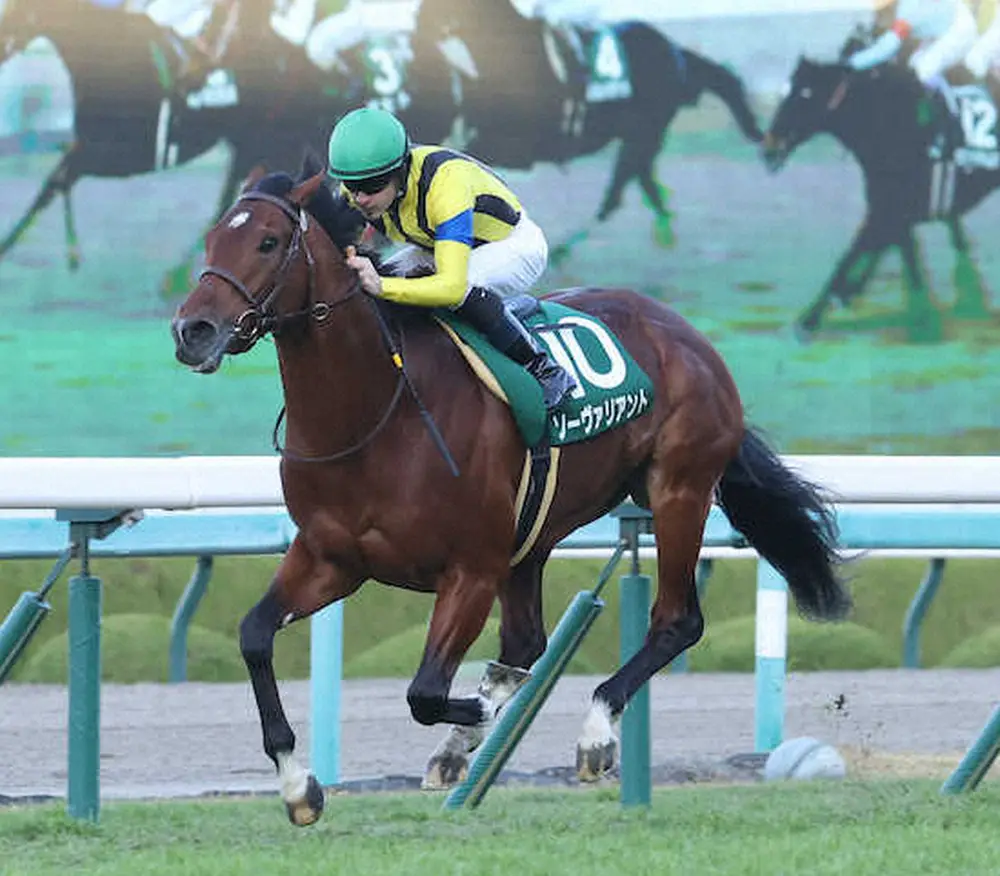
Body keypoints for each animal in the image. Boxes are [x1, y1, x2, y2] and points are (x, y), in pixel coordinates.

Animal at [170, 154, 850, 826]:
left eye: (267, 241)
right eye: (211, 239)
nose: (192, 330)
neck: (375, 416)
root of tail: (685, 333)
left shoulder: (470, 569)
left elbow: (425, 692)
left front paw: (482, 715)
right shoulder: (331, 558)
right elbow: (255, 636)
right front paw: (298, 786)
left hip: (678, 489)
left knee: (675, 621)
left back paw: (594, 731)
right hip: (534, 533)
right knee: (527, 639)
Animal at [403, 0, 763, 262]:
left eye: (431, 9)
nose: (418, 48)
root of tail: (674, 51)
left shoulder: (512, 145)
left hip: (645, 131)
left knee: (620, 189)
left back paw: (570, 245)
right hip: (642, 135)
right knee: (640, 182)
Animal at [761, 51, 1000, 343]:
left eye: (805, 94)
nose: (768, 149)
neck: (891, 124)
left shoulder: (891, 210)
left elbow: (853, 258)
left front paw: (808, 321)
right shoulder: (889, 210)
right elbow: (886, 252)